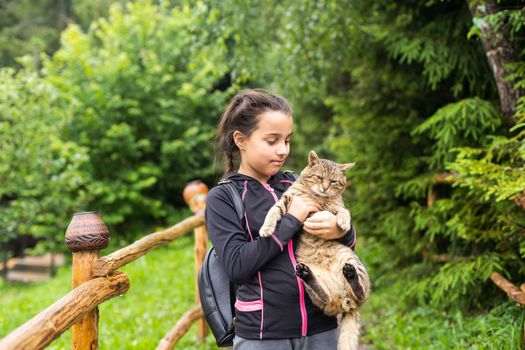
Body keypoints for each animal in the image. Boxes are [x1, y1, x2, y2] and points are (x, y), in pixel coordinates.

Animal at [258, 150, 368, 350]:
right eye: (319, 177)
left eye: (333, 182)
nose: (324, 188)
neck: (317, 197)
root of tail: (345, 301)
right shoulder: (288, 200)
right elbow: (273, 211)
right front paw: (266, 228)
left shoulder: (336, 206)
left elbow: (344, 211)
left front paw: (344, 224)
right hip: (310, 284)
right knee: (324, 297)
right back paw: (308, 274)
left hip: (350, 259)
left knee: (362, 294)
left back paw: (350, 275)